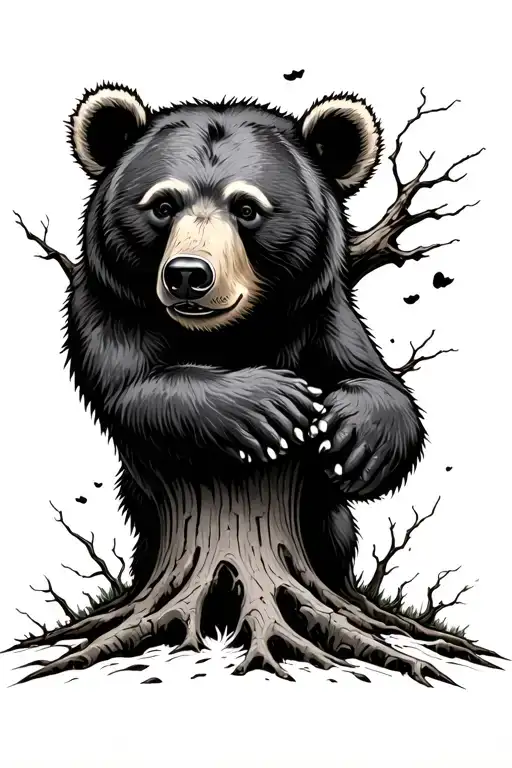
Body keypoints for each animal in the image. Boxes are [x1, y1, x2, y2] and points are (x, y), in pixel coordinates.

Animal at [65, 84, 426, 597]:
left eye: (247, 208)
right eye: (163, 205)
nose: (188, 275)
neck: (226, 334)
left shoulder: (319, 313)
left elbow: (375, 378)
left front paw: (355, 441)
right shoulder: (108, 303)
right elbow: (135, 384)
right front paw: (271, 406)